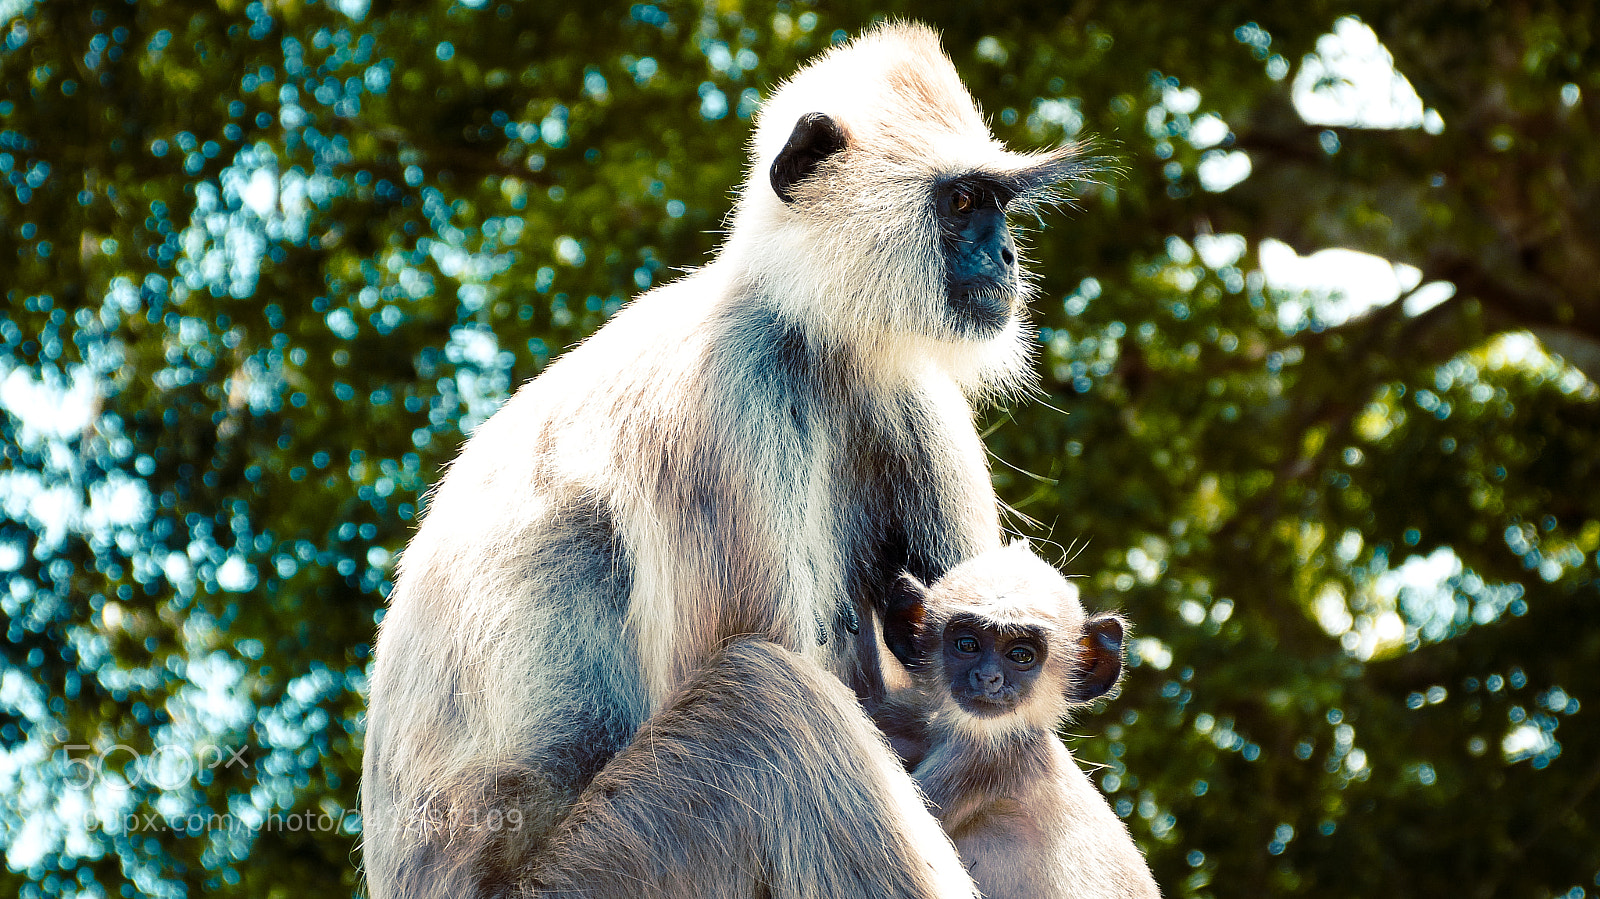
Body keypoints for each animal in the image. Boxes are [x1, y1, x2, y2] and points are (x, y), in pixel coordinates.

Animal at [361, 22, 1090, 899]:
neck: (806, 334)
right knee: (763, 694)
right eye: (961, 203)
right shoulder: (721, 400)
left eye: (999, 205)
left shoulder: (908, 390)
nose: (1007, 257)